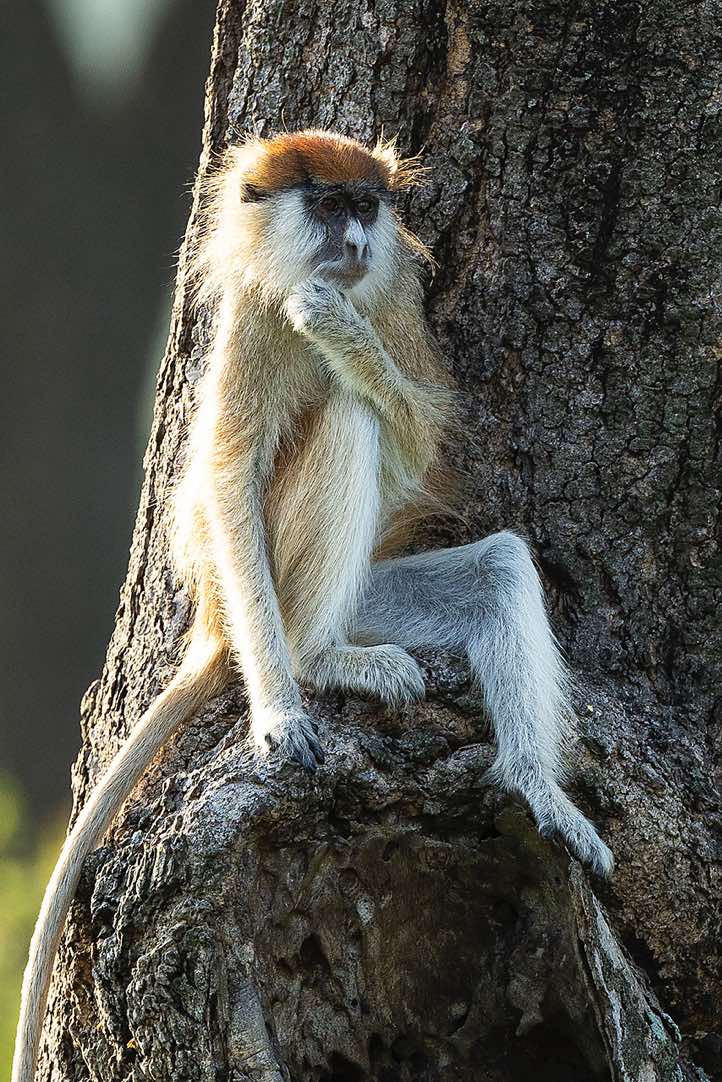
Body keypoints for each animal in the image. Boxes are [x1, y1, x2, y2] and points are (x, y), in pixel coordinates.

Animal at [13, 129, 613, 1082]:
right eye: (329, 206)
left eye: (366, 206)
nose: (356, 240)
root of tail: (216, 623)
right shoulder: (254, 319)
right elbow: (229, 481)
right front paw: (278, 712)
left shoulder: (396, 299)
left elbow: (413, 438)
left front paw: (342, 331)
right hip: (277, 583)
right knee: (342, 425)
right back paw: (317, 659)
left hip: (373, 592)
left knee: (494, 561)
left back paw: (531, 786)